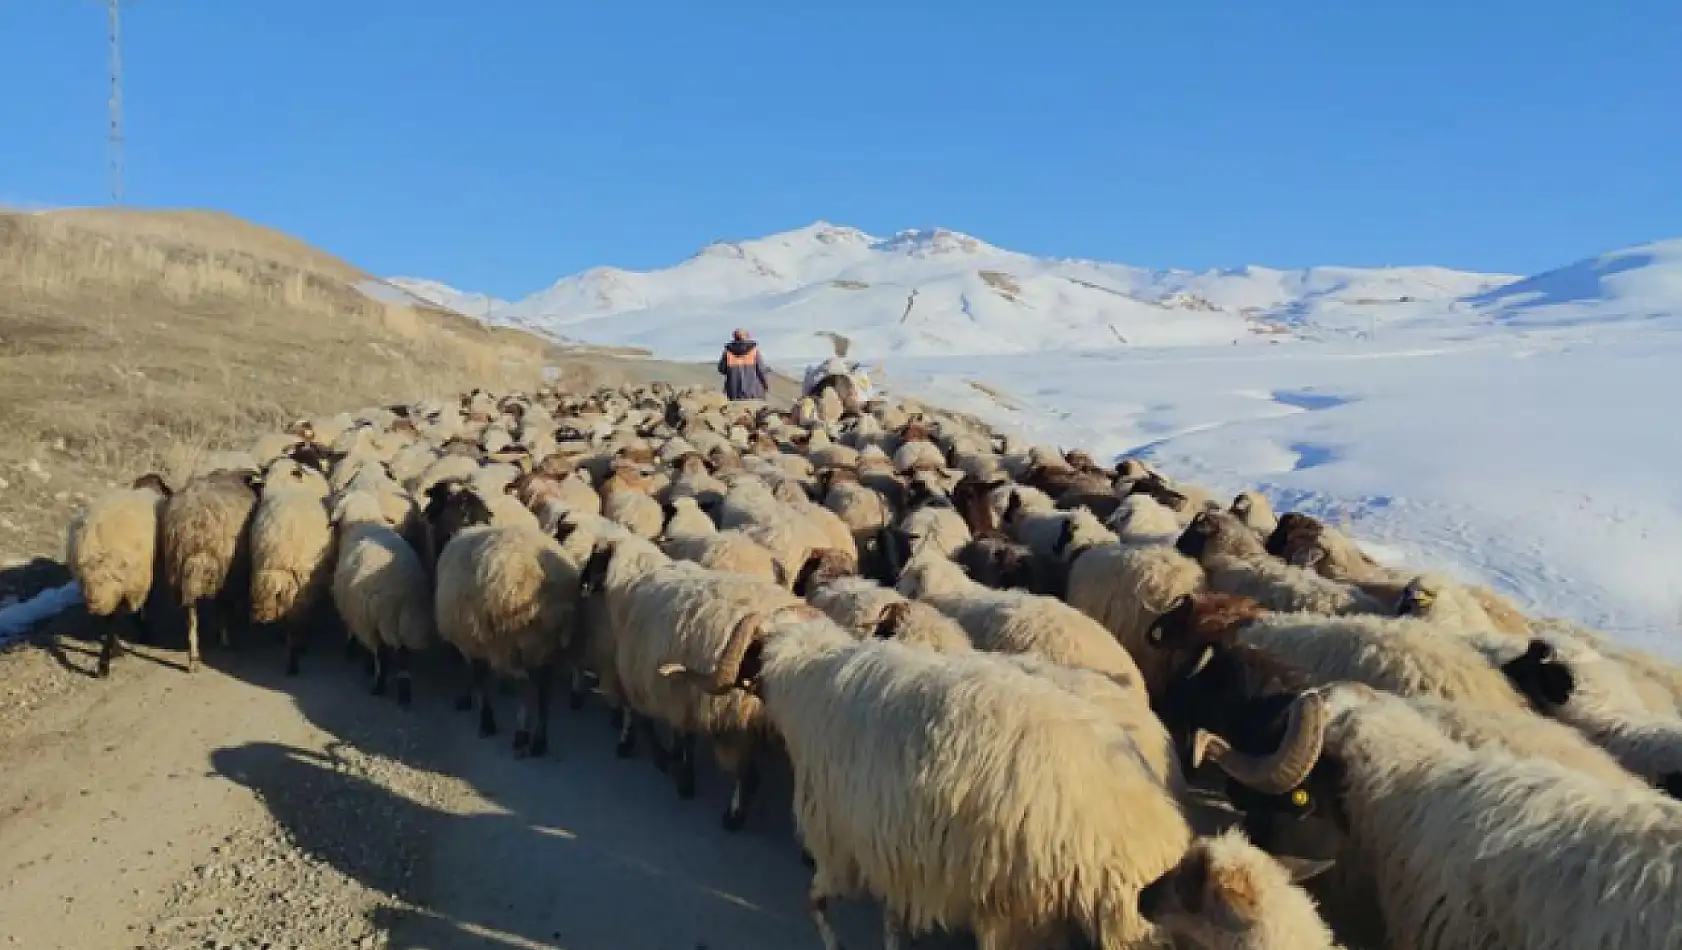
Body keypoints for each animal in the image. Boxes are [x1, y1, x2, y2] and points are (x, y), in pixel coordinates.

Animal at [65, 470, 172, 672]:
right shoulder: (141, 580)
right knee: (112, 618)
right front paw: (144, 631)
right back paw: (106, 662)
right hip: (119, 581)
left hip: (102, 585)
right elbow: (144, 606)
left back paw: (112, 653)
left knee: (108, 617)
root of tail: (93, 541)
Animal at [161, 467, 260, 665]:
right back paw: (222, 642)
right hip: (222, 566)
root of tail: (193, 525)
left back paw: (193, 656)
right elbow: (223, 607)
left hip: (179, 569)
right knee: (219, 607)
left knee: (191, 613)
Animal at [331, 487, 437, 702]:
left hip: (380, 620)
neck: (362, 519)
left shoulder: (356, 610)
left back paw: (378, 686)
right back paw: (404, 691)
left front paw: (355, 655)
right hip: (402, 620)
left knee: (383, 654)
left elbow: (353, 633)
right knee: (403, 654)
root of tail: (405, 587)